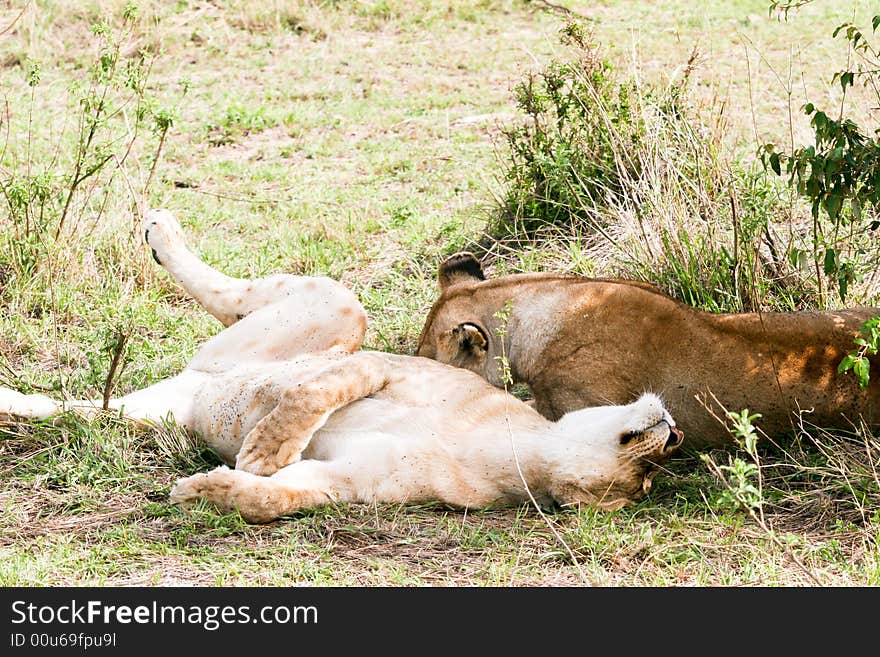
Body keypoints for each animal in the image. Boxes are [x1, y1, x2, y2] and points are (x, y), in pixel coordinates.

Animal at [0, 210, 680, 524]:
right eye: (648, 466)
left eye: (643, 483)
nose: (673, 433)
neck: (517, 449)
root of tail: (192, 384)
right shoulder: (390, 367)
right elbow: (314, 394)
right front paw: (262, 451)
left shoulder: (356, 481)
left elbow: (277, 498)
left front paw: (205, 489)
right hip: (340, 311)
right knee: (239, 293)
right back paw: (160, 230)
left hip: (147, 415)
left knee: (76, 412)